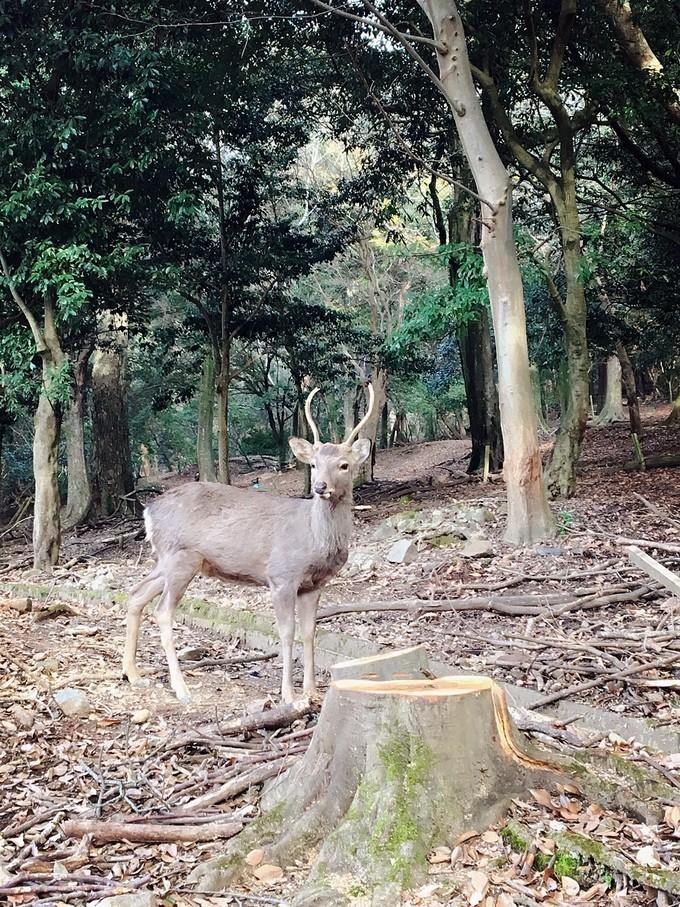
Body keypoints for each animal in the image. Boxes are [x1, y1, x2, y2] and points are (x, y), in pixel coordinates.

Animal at [122, 384, 378, 704]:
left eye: (344, 465)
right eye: (314, 464)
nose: (320, 486)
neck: (313, 538)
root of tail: (148, 511)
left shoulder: (314, 584)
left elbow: (310, 632)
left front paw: (311, 691)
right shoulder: (282, 575)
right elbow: (286, 632)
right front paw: (288, 695)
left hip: (168, 559)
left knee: (136, 593)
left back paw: (134, 674)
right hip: (180, 557)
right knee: (163, 611)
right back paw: (181, 689)